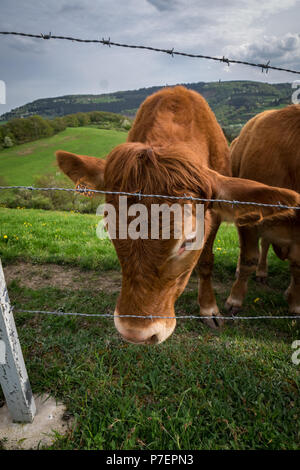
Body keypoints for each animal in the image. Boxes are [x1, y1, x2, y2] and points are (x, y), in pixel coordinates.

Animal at [226, 105, 300, 316]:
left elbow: (297, 265)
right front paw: (235, 300)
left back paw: (262, 271)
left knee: (266, 243)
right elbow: (248, 258)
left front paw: (294, 302)